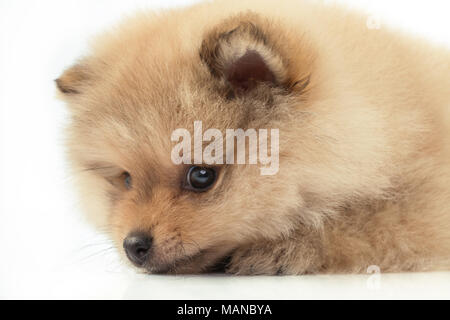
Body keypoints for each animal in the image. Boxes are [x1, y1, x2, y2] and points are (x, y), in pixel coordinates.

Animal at [56, 0, 450, 276]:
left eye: (201, 176)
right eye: (125, 179)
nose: (134, 245)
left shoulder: (424, 204)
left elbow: (361, 226)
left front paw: (283, 249)